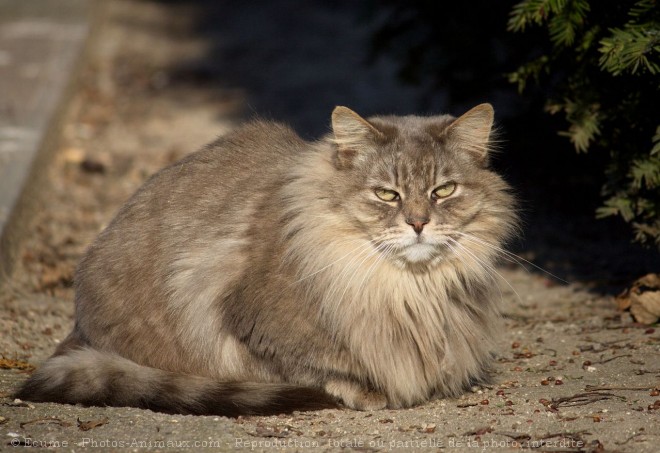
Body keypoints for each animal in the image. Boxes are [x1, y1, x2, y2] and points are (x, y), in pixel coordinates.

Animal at [16, 104, 516, 414]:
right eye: (386, 194)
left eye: (443, 191)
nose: (417, 223)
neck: (409, 289)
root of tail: (77, 327)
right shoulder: (250, 327)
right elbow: (319, 368)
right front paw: (370, 391)